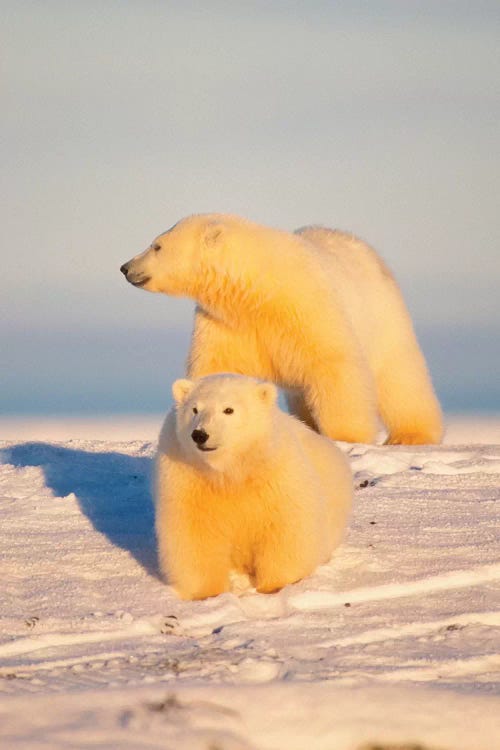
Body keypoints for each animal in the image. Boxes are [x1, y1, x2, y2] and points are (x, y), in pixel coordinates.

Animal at [121, 213, 442, 446]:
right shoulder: (227, 323)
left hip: (384, 317)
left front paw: (346, 437)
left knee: (400, 377)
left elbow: (334, 365)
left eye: (157, 245)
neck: (257, 290)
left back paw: (412, 434)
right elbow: (217, 366)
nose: (125, 267)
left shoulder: (307, 307)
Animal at [156, 376, 352, 604]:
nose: (200, 434)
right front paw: (207, 594)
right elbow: (195, 533)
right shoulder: (189, 478)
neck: (230, 472)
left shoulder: (276, 473)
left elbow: (285, 527)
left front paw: (276, 587)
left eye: (228, 409)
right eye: (195, 409)